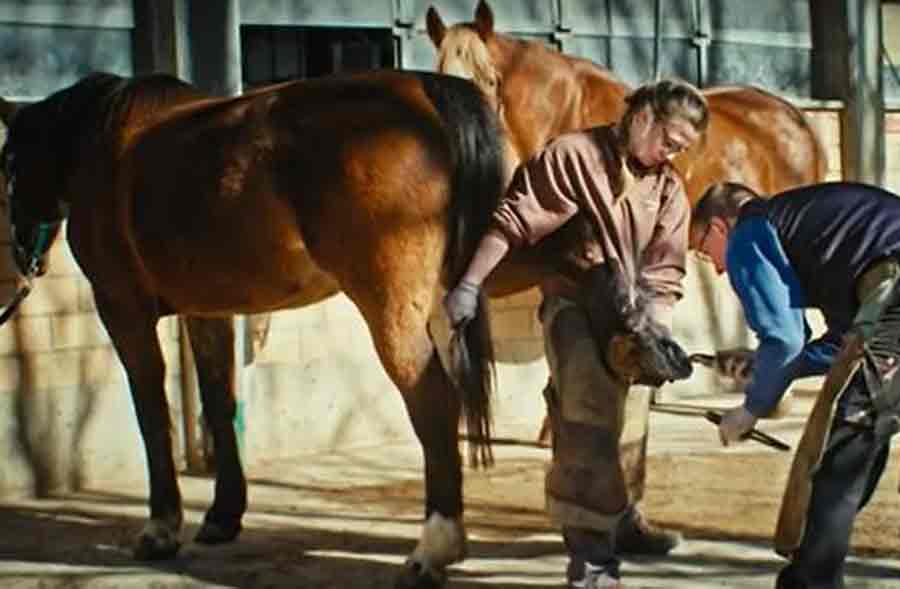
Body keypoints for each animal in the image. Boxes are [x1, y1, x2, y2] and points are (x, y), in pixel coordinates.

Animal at [0, 70, 688, 588]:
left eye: (6, 163)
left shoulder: (123, 309)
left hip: (391, 302)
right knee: (579, 256)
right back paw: (638, 345)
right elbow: (219, 403)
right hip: (498, 247)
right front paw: (222, 516)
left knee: (432, 401)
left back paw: (433, 549)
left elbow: (151, 410)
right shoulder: (208, 310)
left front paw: (160, 528)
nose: (20, 262)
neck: (99, 144)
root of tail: (425, 93)